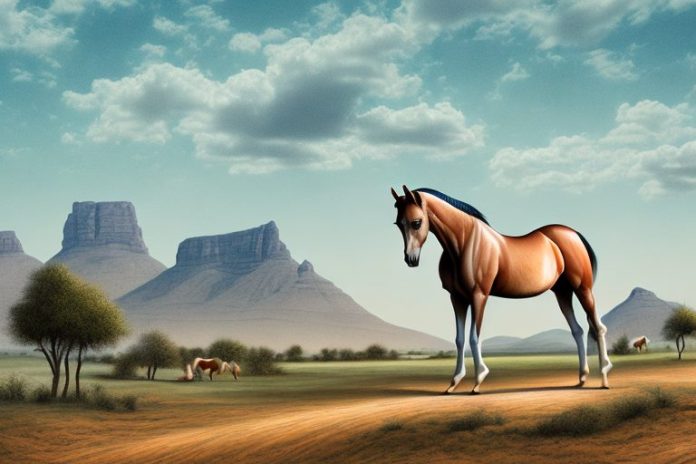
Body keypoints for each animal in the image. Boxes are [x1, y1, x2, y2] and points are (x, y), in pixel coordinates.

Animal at [391, 185, 612, 394]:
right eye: (398, 223)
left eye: (416, 222)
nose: (411, 259)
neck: (465, 242)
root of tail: (573, 234)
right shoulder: (457, 298)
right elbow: (460, 339)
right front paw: (453, 383)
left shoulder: (479, 295)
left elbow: (474, 337)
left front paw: (478, 380)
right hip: (562, 293)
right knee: (577, 330)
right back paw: (582, 377)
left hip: (583, 288)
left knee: (598, 327)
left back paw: (604, 377)